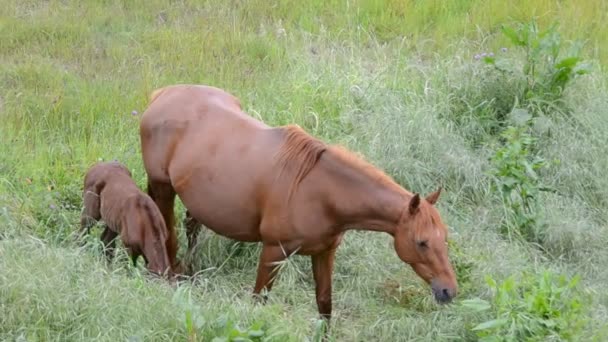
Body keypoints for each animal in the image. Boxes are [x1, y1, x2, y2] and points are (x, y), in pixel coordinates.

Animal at [140, 84, 458, 322]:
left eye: (444, 239)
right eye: (421, 242)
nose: (449, 291)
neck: (320, 192)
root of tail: (162, 95)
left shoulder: (324, 253)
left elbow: (325, 305)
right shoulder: (273, 252)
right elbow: (259, 300)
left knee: (191, 226)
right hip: (163, 188)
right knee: (169, 235)